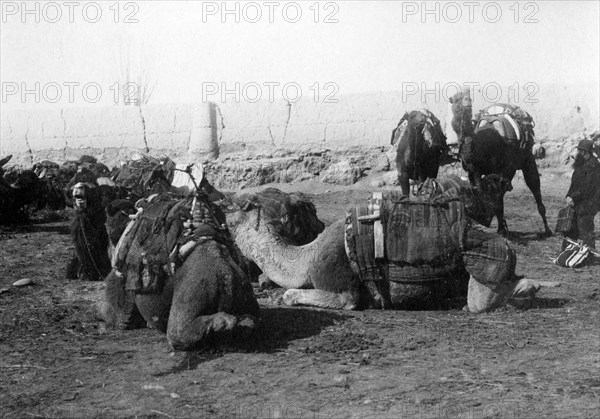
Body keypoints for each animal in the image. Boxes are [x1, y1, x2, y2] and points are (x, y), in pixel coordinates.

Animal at [448, 88, 552, 236]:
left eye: (468, 96)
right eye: (456, 100)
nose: (466, 103)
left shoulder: (507, 169)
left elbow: (499, 197)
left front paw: (501, 228)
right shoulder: (474, 171)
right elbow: (479, 190)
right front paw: (484, 219)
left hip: (528, 160)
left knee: (535, 187)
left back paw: (547, 229)